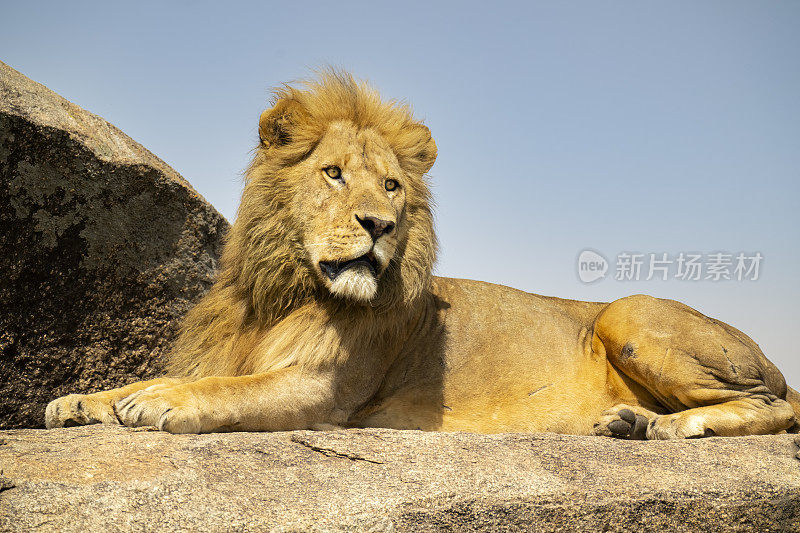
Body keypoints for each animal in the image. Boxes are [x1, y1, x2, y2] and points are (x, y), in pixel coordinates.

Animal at [45, 70, 800, 438]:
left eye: (392, 186)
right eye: (333, 174)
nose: (379, 225)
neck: (282, 290)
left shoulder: (324, 390)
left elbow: (226, 391)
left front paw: (158, 401)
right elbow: (159, 379)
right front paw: (82, 399)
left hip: (631, 311)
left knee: (775, 407)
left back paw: (676, 425)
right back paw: (630, 421)